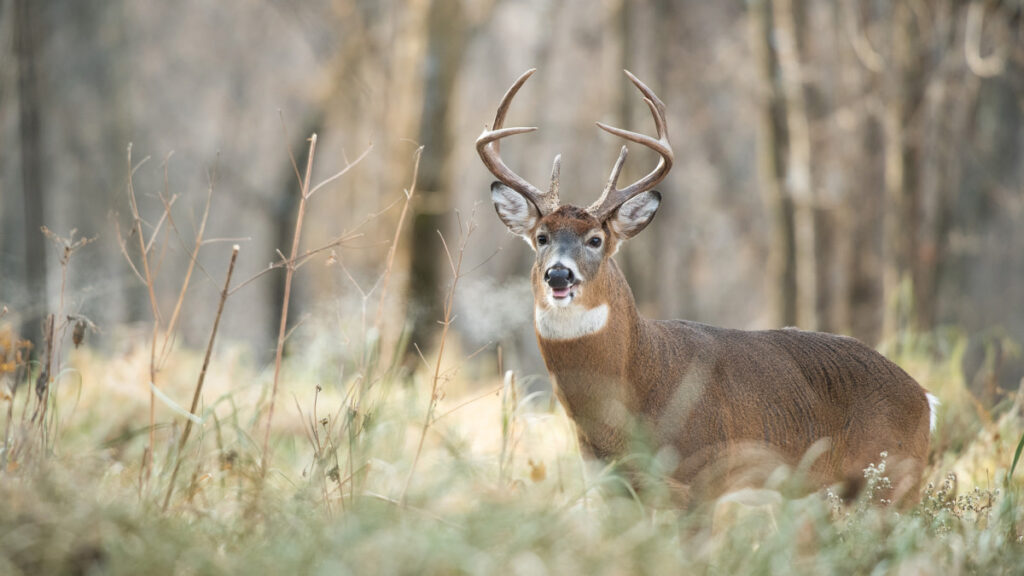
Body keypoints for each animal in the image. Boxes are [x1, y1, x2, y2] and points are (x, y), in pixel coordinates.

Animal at [477, 69, 938, 507]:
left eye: (595, 240)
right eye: (541, 237)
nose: (559, 275)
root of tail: (925, 398)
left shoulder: (701, 479)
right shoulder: (611, 487)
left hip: (893, 485)